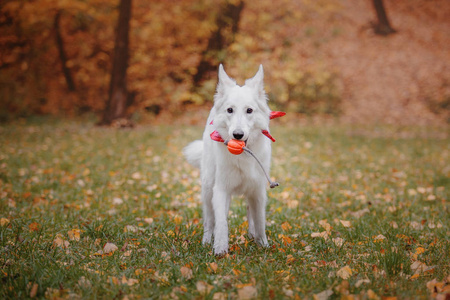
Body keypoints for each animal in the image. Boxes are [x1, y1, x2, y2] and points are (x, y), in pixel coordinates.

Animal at [184, 64, 282, 254]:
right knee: (209, 221)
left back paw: (252, 235)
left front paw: (263, 245)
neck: (244, 154)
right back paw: (206, 242)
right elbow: (222, 222)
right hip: (208, 189)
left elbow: (260, 221)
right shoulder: (221, 190)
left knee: (250, 215)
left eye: (249, 110)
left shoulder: (258, 192)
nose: (237, 135)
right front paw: (220, 249)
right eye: (230, 110)